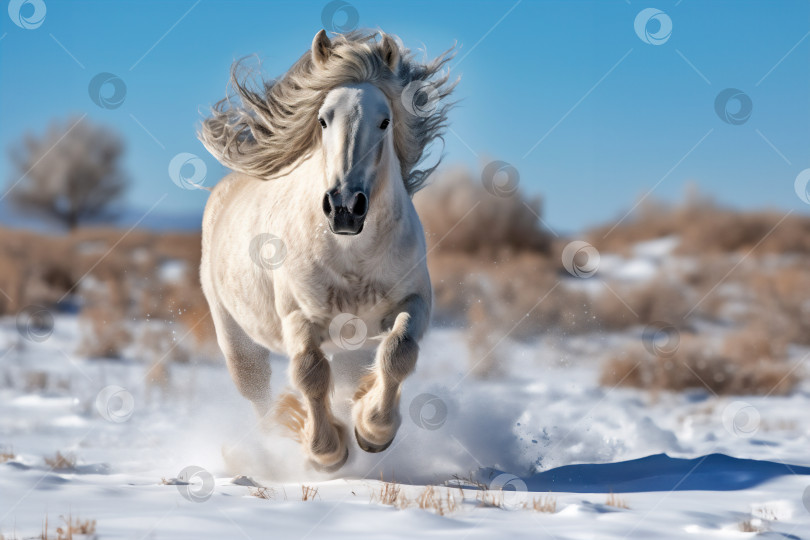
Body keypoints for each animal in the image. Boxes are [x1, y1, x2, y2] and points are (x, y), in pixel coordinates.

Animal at [198, 29, 454, 470]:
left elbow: (398, 352)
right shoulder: (299, 317)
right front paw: (327, 451)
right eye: (322, 119)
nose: (345, 208)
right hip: (236, 337)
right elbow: (309, 372)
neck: (352, 253)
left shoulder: (414, 301)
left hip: (351, 344)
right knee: (257, 393)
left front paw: (372, 430)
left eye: (385, 121)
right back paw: (274, 441)